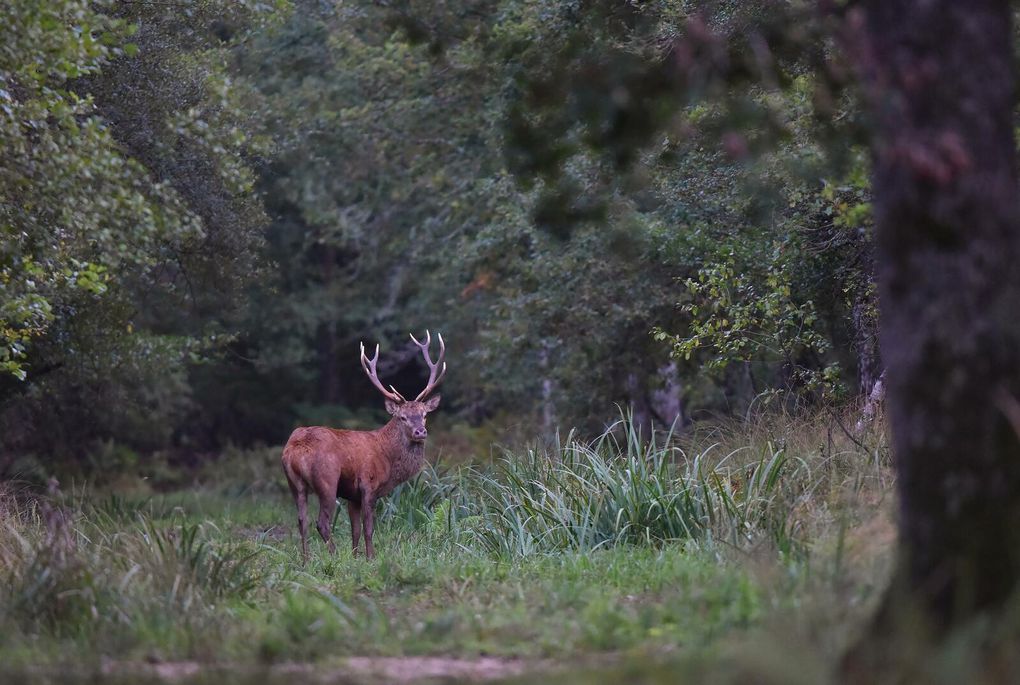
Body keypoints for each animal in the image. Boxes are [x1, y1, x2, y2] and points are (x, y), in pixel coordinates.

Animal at [285, 332, 448, 562]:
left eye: (424, 415)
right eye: (403, 417)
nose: (420, 432)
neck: (388, 457)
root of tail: (297, 448)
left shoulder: (352, 496)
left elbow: (355, 529)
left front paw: (356, 558)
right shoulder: (368, 485)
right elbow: (368, 527)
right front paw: (371, 558)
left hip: (294, 483)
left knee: (301, 521)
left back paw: (306, 560)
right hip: (327, 480)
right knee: (322, 523)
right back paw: (334, 556)